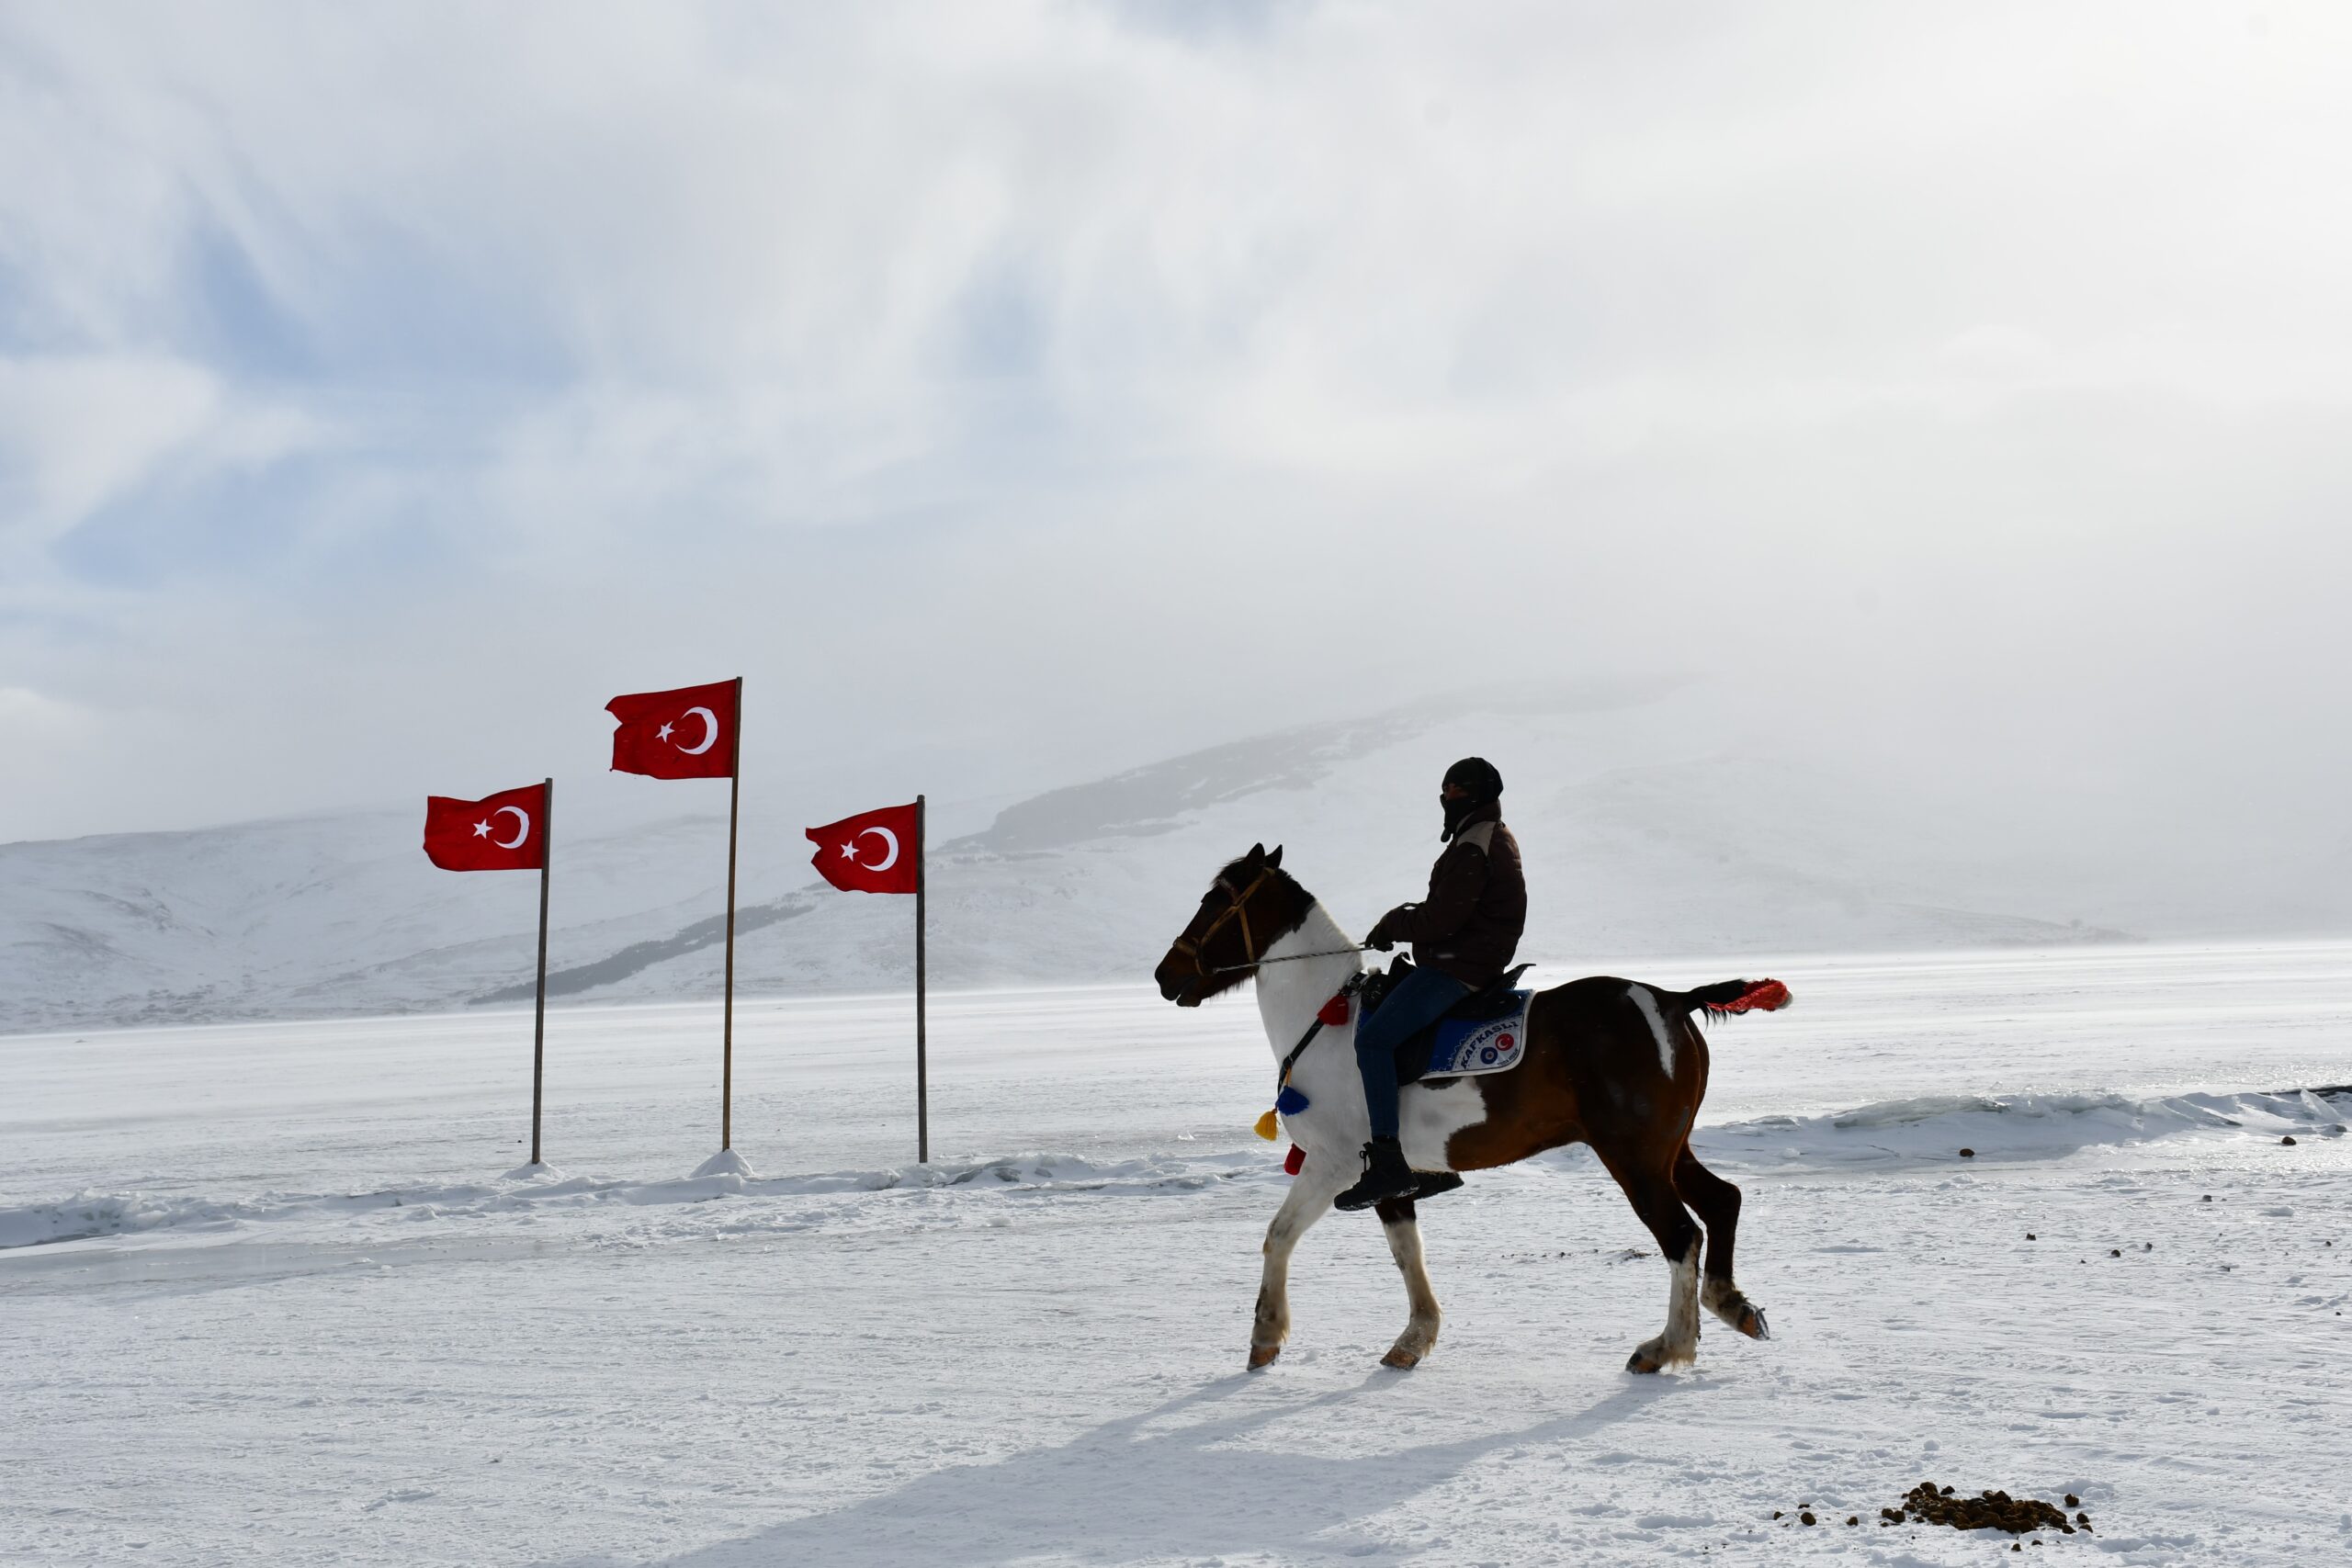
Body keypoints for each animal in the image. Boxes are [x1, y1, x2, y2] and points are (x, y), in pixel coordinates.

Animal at [1153, 843, 1790, 1375]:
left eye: (1214, 902)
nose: (1164, 975)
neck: (1326, 1018)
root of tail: (1670, 999)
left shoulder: (1334, 1163)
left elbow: (1278, 1235)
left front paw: (1265, 1336)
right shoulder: (1388, 1175)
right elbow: (1406, 1253)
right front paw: (1414, 1339)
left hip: (1633, 1156)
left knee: (1681, 1234)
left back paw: (1667, 1345)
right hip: (1667, 1149)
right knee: (1723, 1200)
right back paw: (1733, 1307)